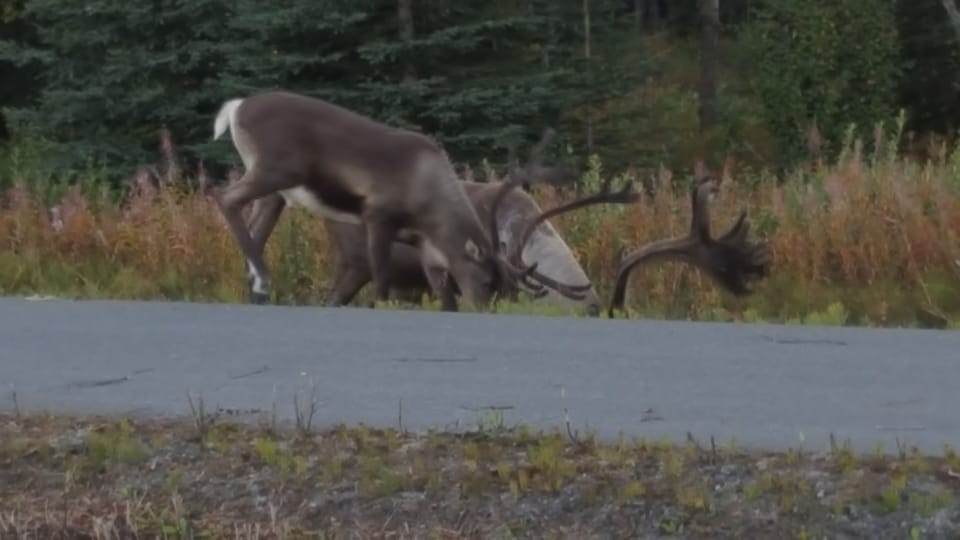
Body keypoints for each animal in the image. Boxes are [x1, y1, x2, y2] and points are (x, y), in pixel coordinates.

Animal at [207, 89, 595, 312]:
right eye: (486, 281)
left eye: (508, 286)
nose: (489, 310)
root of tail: (234, 109)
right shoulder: (378, 215)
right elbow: (381, 278)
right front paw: (380, 306)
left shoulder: (427, 250)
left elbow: (444, 298)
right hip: (276, 170)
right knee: (225, 198)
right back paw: (261, 282)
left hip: (275, 190)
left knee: (253, 226)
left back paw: (256, 289)